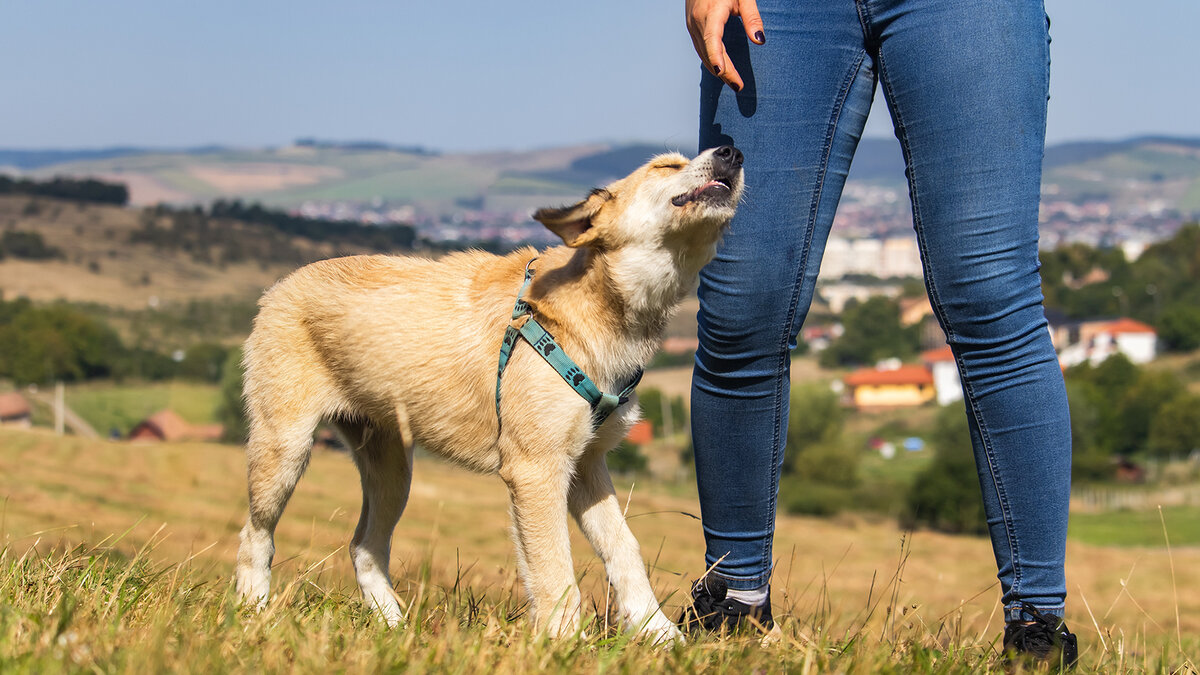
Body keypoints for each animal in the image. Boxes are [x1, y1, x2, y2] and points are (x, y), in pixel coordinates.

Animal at [232, 145, 739, 638]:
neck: (598, 304)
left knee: (364, 546)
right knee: (255, 536)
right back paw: (253, 611)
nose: (732, 152)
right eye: (666, 166)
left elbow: (624, 549)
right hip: (284, 449)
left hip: (393, 469)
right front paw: (562, 645)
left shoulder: (587, 465)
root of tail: (281, 284)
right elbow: (555, 569)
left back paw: (394, 627)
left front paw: (659, 635)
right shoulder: (536, 469)